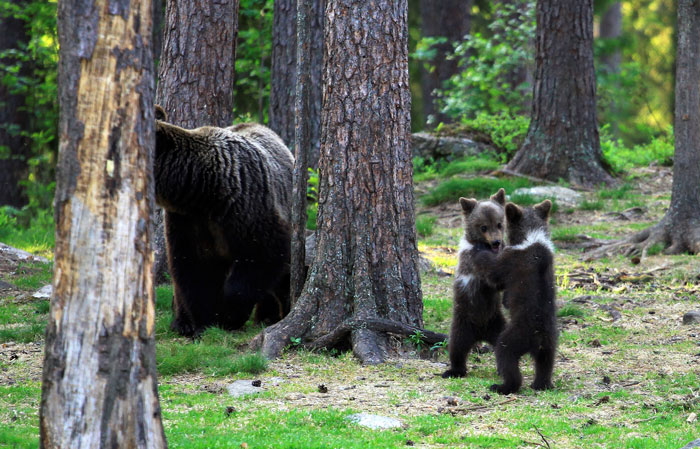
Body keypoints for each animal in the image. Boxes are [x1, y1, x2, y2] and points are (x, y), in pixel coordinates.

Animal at [154, 105, 294, 336]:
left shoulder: (247, 206)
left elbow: (263, 254)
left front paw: (228, 315)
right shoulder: (187, 221)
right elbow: (194, 270)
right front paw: (204, 321)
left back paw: (268, 316)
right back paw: (181, 322)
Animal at [442, 188, 507, 378]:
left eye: (499, 224)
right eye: (483, 226)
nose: (496, 241)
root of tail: (481, 334)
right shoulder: (474, 260)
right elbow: (494, 278)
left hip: (497, 322)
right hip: (463, 323)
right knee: (457, 348)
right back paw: (454, 370)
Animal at [472, 200, 557, 394]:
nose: (496, 241)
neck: (531, 237)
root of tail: (538, 336)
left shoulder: (511, 260)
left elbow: (494, 273)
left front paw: (480, 252)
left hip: (515, 337)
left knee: (506, 356)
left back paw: (502, 386)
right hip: (550, 342)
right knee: (545, 363)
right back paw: (541, 384)